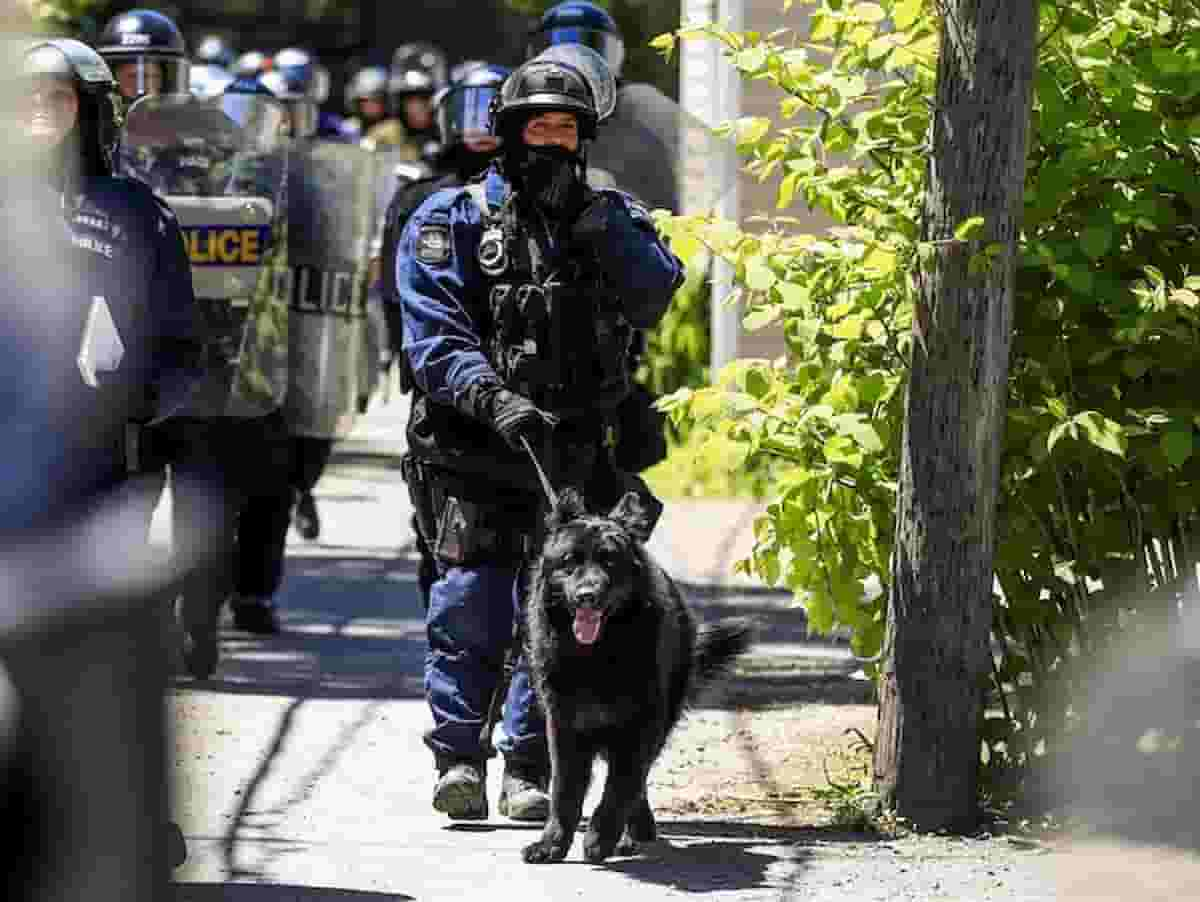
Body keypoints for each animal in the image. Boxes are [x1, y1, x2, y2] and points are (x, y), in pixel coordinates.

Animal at [518, 489, 744, 863]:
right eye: (570, 560)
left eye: (610, 561)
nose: (587, 596)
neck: (595, 655)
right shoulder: (564, 726)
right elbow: (564, 790)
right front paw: (552, 844)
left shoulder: (638, 726)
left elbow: (620, 786)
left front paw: (600, 837)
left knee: (635, 782)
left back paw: (630, 834)